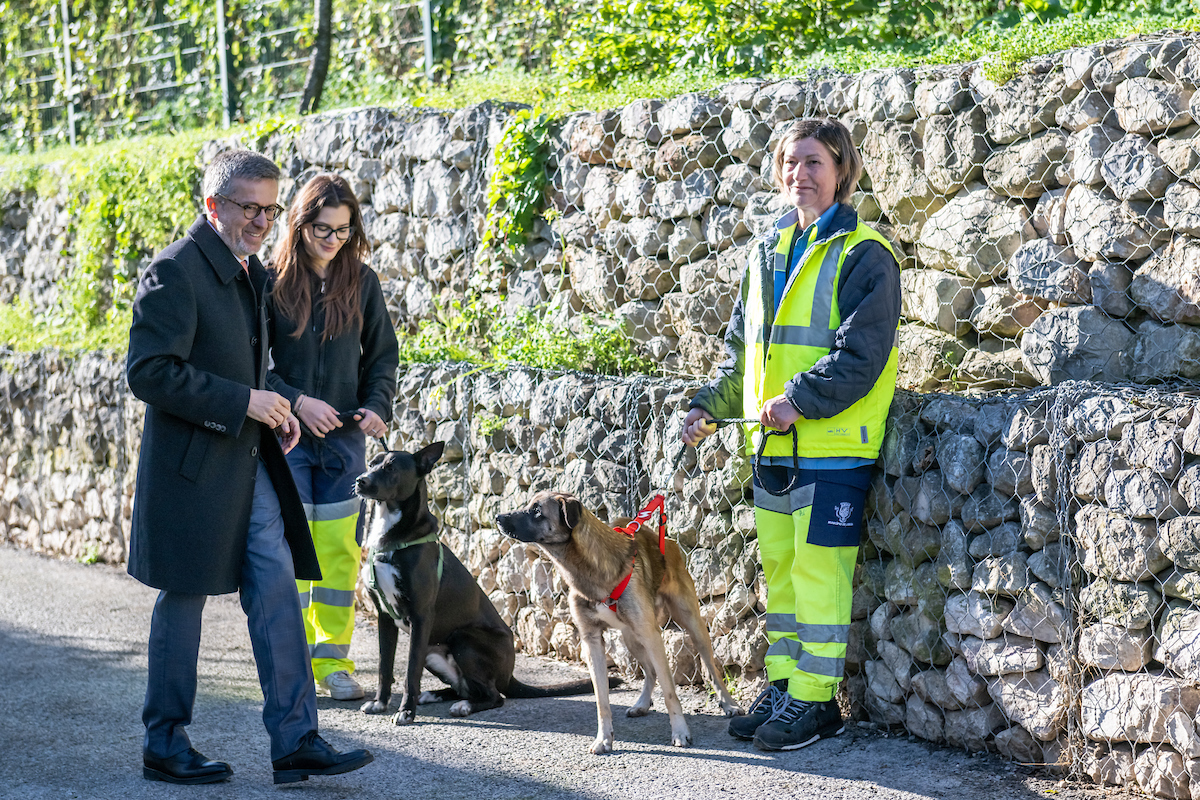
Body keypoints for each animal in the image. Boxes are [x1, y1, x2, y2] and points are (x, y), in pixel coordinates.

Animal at [355, 441, 600, 724]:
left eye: (391, 467)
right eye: (371, 463)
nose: (360, 481)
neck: (393, 538)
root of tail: (510, 675)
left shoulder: (420, 617)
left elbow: (410, 673)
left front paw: (405, 712)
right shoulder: (384, 616)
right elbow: (384, 667)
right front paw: (380, 703)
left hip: (463, 638)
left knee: (495, 696)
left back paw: (463, 706)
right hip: (432, 648)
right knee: (467, 687)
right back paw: (437, 696)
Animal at [494, 491, 739, 753]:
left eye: (537, 511)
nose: (498, 517)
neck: (589, 569)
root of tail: (664, 540)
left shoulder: (652, 636)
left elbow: (670, 692)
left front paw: (680, 732)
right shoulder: (592, 642)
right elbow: (602, 700)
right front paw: (604, 738)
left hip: (688, 626)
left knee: (711, 669)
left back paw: (729, 704)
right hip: (631, 637)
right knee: (650, 671)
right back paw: (642, 703)